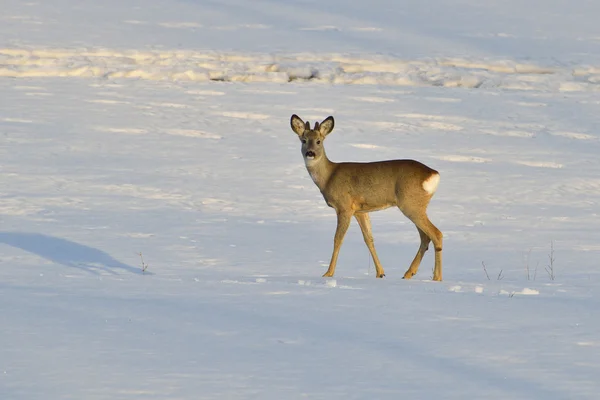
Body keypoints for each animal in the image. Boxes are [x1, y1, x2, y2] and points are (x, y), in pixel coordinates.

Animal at [292, 114, 442, 280]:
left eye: (319, 141)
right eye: (303, 140)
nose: (310, 153)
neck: (328, 177)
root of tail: (434, 174)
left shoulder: (345, 207)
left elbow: (338, 239)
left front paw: (328, 273)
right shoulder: (360, 211)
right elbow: (369, 239)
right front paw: (380, 273)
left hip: (410, 203)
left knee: (436, 234)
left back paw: (436, 277)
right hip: (416, 205)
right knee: (425, 237)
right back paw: (409, 273)